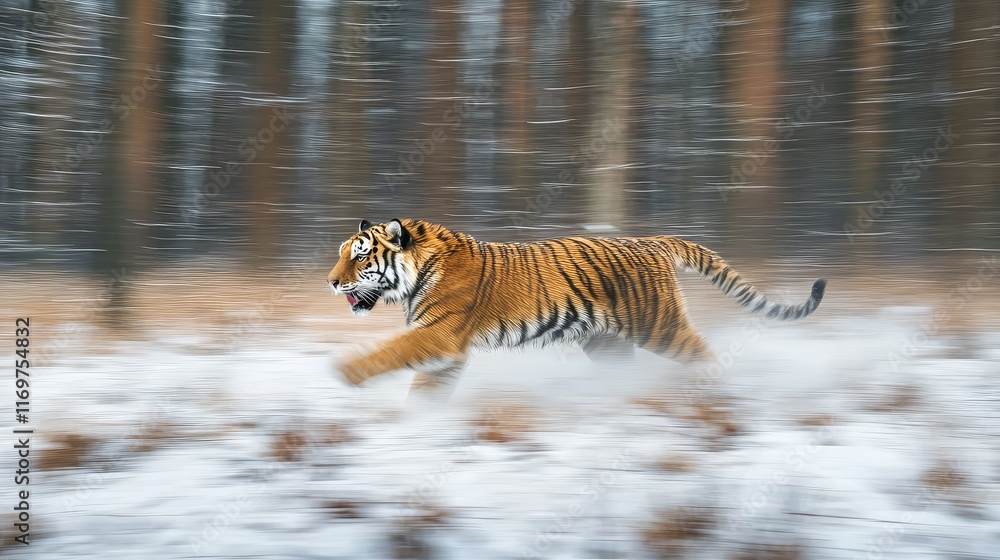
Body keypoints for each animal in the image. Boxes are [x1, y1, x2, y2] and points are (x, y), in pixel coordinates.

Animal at [327, 218, 826, 396]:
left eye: (361, 257)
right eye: (342, 253)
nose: (330, 282)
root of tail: (653, 240)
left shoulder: (439, 334)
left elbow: (390, 351)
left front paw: (346, 373)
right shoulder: (446, 350)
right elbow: (427, 390)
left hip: (660, 327)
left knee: (706, 356)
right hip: (606, 342)